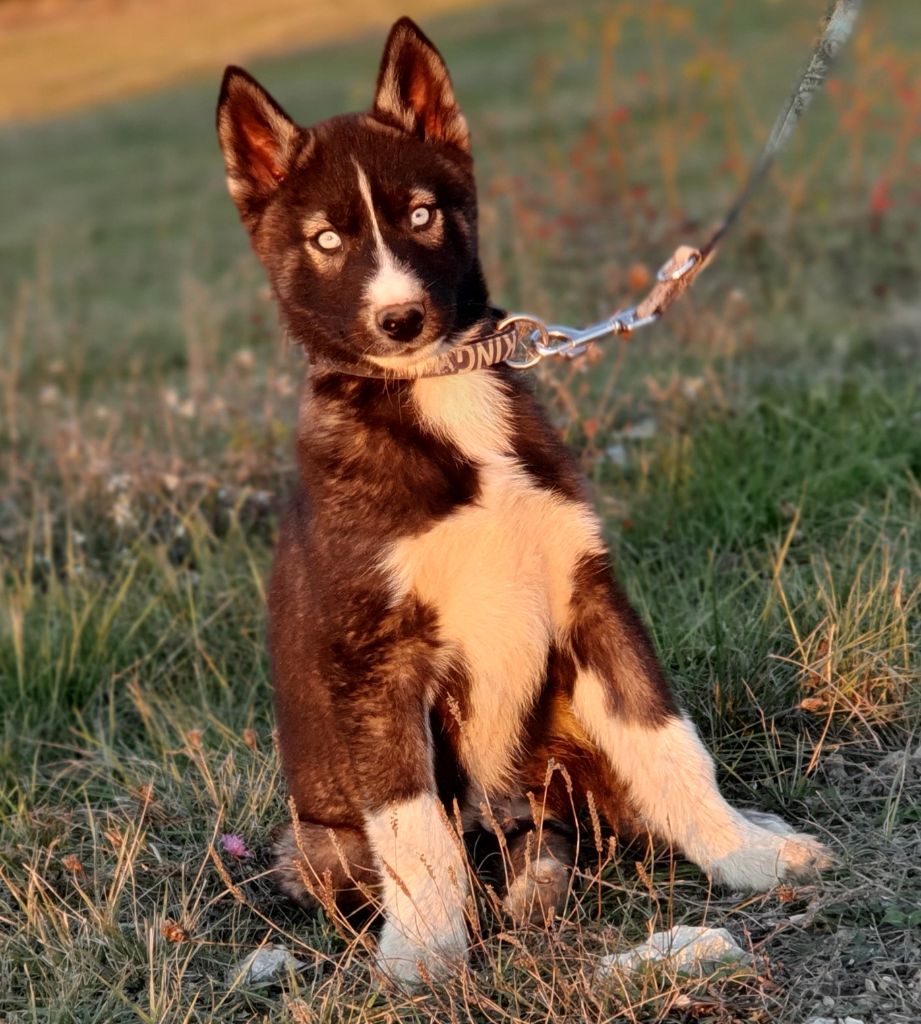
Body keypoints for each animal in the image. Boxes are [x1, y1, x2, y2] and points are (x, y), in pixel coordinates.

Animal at [218, 18, 835, 983]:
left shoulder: (586, 594)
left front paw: (747, 855)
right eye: (324, 240)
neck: (441, 395)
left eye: (422, 214)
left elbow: (671, 744)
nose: (401, 321)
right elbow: (415, 828)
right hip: (321, 840)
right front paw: (425, 953)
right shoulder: (373, 659)